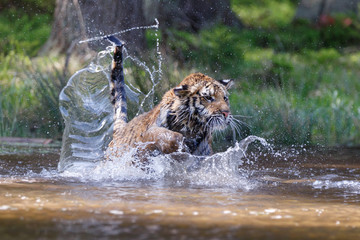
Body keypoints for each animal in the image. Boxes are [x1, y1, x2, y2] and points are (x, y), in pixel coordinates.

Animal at [105, 36, 235, 161]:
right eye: (208, 97)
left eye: (225, 98)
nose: (226, 113)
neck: (194, 128)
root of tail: (120, 130)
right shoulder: (146, 137)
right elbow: (170, 135)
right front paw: (181, 149)